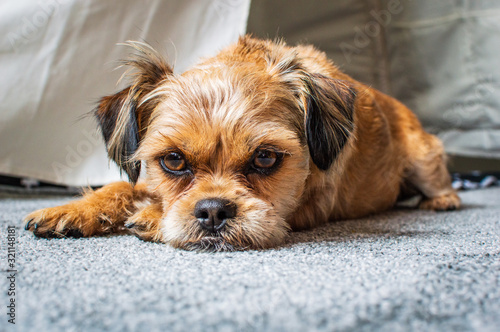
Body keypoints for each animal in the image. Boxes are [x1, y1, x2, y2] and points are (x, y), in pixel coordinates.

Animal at [23, 35, 460, 250]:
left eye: (265, 158)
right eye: (173, 161)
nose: (213, 211)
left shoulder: (308, 205)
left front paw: (151, 216)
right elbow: (120, 186)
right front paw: (74, 209)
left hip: (423, 157)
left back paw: (442, 199)